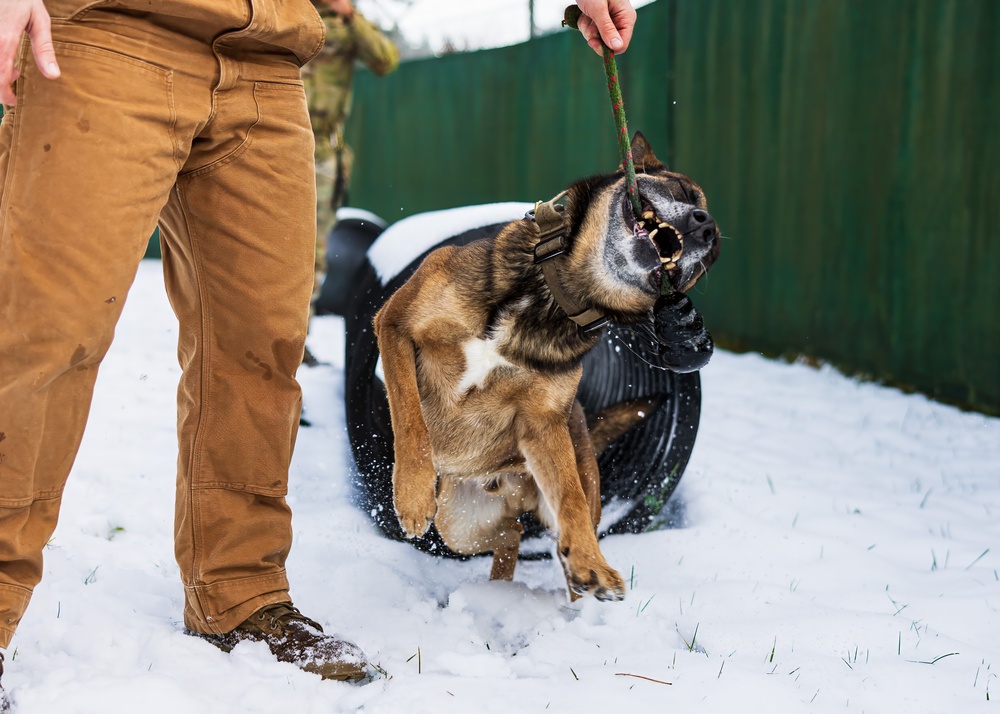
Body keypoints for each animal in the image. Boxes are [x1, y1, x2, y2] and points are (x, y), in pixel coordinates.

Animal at [374, 134, 720, 600]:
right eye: (684, 192)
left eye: (712, 254)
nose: (706, 227)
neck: (553, 298)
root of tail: (512, 491)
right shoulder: (394, 324)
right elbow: (409, 416)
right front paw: (412, 493)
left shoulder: (544, 423)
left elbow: (569, 497)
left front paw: (592, 562)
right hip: (457, 524)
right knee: (512, 530)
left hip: (525, 503)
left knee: (535, 529)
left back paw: (576, 574)